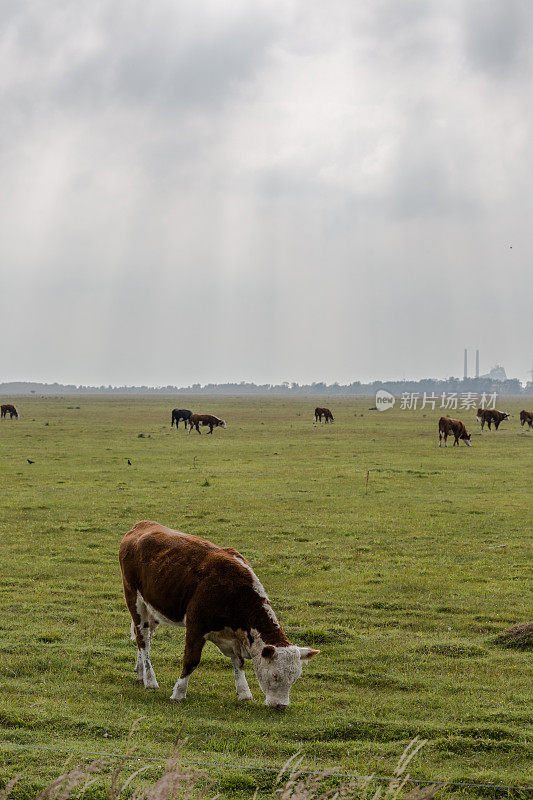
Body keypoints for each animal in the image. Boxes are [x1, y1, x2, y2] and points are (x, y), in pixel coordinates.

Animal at [118, 524, 318, 708]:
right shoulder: (196, 627)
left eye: (295, 677)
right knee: (142, 639)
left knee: (146, 638)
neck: (235, 592)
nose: (281, 705)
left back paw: (140, 673)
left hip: (153, 609)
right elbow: (191, 661)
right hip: (135, 600)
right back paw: (150, 680)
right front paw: (179, 693)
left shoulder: (233, 637)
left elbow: (238, 662)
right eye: (275, 675)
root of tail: (142, 525)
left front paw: (244, 692)